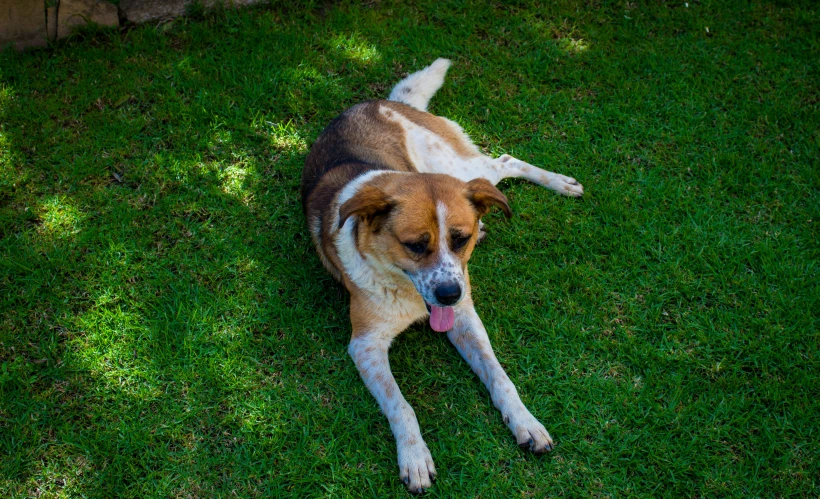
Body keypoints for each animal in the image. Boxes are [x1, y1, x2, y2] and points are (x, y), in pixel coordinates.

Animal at [302, 58, 584, 492]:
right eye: (415, 245)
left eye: (459, 238)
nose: (451, 293)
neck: (405, 290)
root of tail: (385, 102)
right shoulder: (365, 345)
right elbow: (401, 405)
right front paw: (415, 457)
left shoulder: (466, 317)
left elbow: (500, 376)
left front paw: (526, 423)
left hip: (456, 166)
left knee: (503, 162)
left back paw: (561, 184)